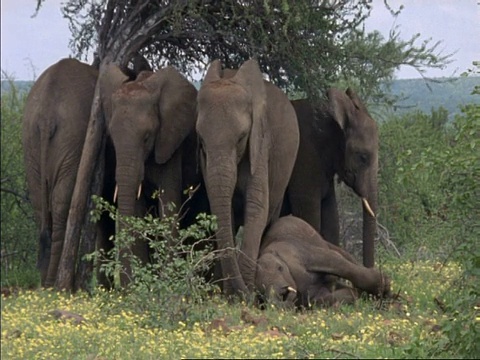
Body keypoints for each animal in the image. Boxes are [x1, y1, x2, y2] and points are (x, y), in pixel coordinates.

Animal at [22, 58, 102, 286]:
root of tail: (45, 118)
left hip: (32, 141)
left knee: (41, 205)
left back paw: (45, 281)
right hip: (69, 140)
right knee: (60, 206)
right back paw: (54, 283)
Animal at [99, 64, 199, 286]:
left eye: (146, 138)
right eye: (112, 139)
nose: (124, 288)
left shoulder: (170, 142)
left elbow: (168, 204)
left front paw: (166, 284)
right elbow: (137, 208)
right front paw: (139, 286)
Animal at [197, 59, 298, 296]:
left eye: (242, 137)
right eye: (201, 141)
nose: (248, 294)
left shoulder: (261, 144)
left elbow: (256, 208)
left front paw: (245, 294)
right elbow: (223, 212)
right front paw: (231, 295)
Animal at [255, 215, 390, 308]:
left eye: (280, 268)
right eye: (261, 289)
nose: (282, 293)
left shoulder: (297, 252)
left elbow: (336, 262)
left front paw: (384, 287)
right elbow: (317, 299)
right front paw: (355, 295)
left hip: (325, 243)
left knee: (343, 257)